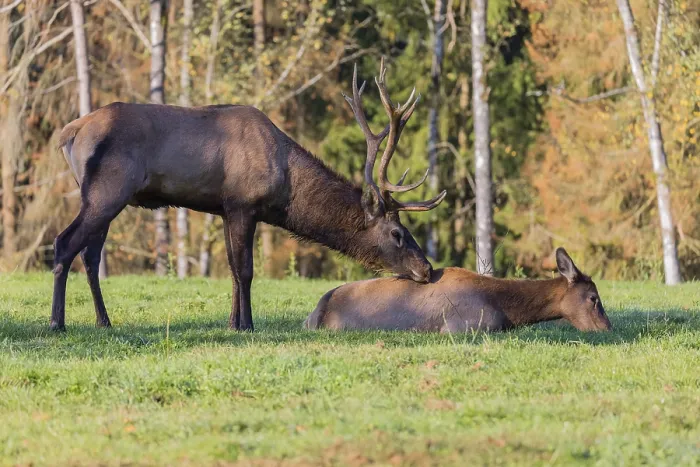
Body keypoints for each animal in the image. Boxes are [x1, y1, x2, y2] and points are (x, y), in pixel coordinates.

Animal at [51, 58, 446, 332]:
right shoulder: (243, 204)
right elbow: (245, 269)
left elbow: (230, 266)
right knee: (64, 242)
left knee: (90, 254)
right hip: (107, 189)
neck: (285, 187)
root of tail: (70, 132)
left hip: (101, 195)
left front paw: (231, 322)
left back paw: (103, 321)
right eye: (397, 233)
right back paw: (57, 322)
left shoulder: (225, 209)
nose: (426, 269)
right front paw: (247, 324)